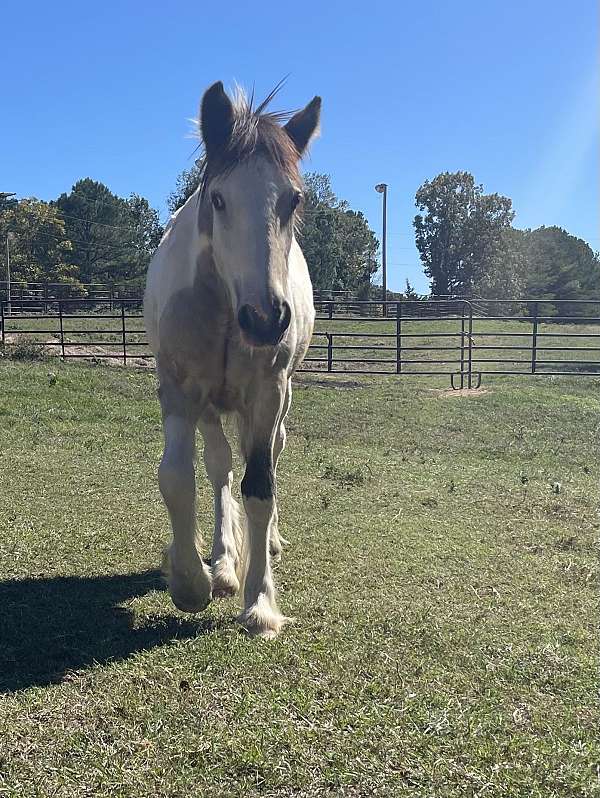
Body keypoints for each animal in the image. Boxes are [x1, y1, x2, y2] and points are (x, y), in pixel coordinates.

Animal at [144, 83, 322, 636]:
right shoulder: (180, 389)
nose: (265, 319)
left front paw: (260, 602)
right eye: (218, 199)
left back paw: (264, 546)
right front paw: (191, 582)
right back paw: (222, 563)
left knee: (262, 461)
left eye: (293, 199)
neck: (225, 306)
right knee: (219, 467)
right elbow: (178, 479)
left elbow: (261, 486)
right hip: (209, 406)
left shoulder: (268, 393)